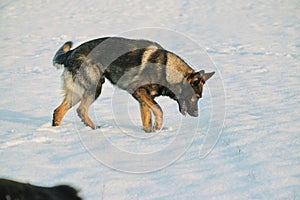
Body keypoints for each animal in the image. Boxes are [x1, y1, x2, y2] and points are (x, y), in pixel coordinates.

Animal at [52, 37, 214, 132]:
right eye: (194, 97)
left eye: (199, 98)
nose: (196, 114)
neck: (166, 70)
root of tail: (71, 52)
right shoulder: (138, 91)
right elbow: (159, 110)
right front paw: (158, 127)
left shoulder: (143, 99)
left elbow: (147, 119)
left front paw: (150, 133)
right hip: (94, 88)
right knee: (81, 110)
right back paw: (95, 128)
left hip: (78, 92)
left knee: (58, 111)